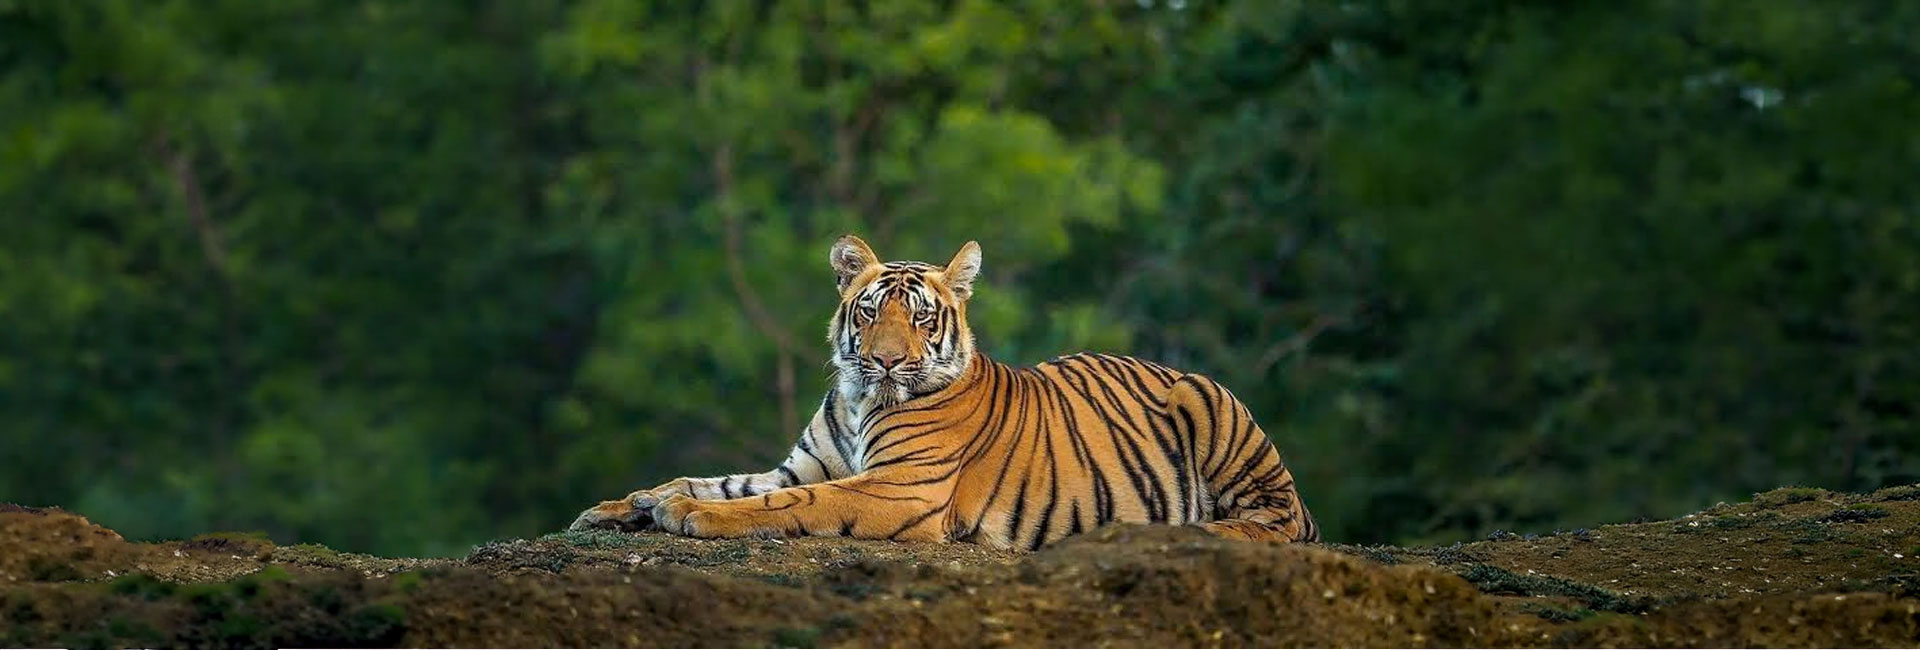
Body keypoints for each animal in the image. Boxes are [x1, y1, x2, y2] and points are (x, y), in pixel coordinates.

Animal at [569, 235, 1319, 550]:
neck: (858, 398)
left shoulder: (898, 488)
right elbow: (715, 479)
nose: (884, 361)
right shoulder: (802, 464)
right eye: (871, 311)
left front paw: (688, 516)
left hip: (1209, 403)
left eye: (922, 318)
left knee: (1278, 523)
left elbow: (785, 503)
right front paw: (626, 505)